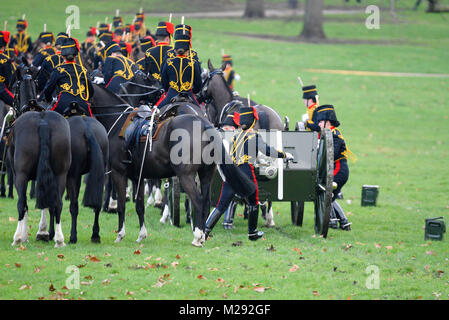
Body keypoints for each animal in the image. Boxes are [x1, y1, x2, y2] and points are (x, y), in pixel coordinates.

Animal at [89, 84, 256, 246]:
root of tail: (203, 123)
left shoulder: (119, 173)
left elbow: (122, 205)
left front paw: (120, 235)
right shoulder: (138, 177)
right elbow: (139, 206)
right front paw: (141, 235)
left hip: (185, 176)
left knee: (197, 201)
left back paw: (197, 237)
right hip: (205, 174)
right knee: (206, 202)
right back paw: (202, 234)